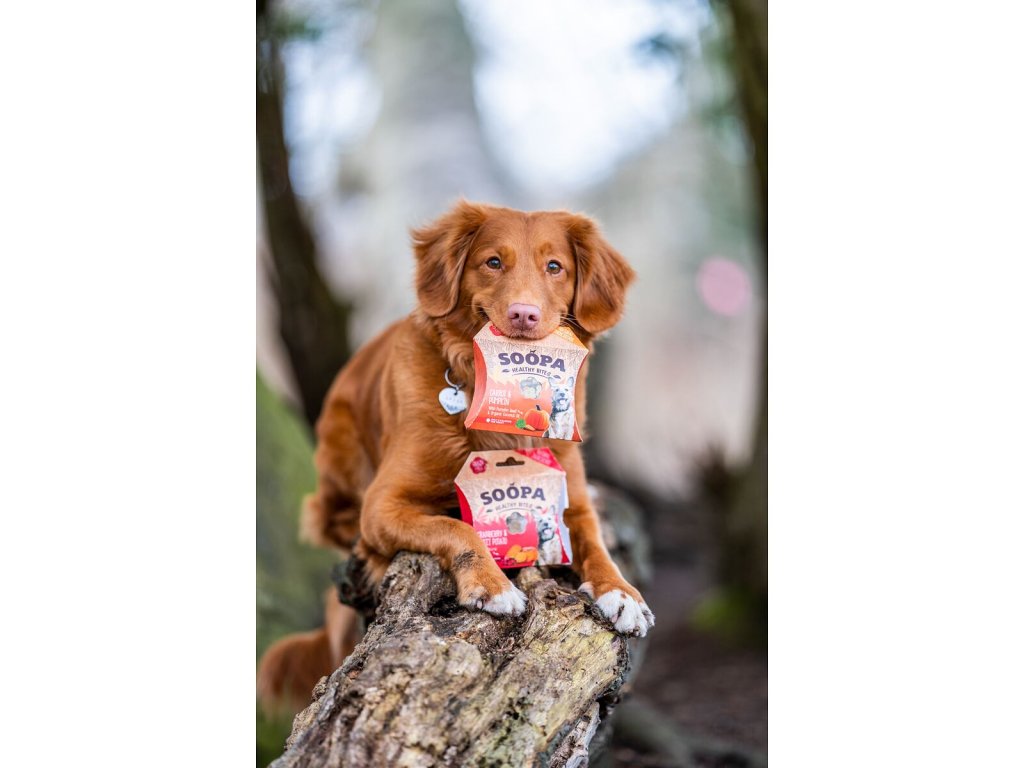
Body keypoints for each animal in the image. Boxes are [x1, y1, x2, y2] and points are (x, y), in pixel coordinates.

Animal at [257, 200, 655, 714]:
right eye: (493, 262)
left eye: (555, 266)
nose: (523, 314)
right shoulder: (381, 505)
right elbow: (457, 528)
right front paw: (492, 585)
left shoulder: (573, 497)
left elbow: (596, 544)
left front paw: (622, 593)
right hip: (339, 450)